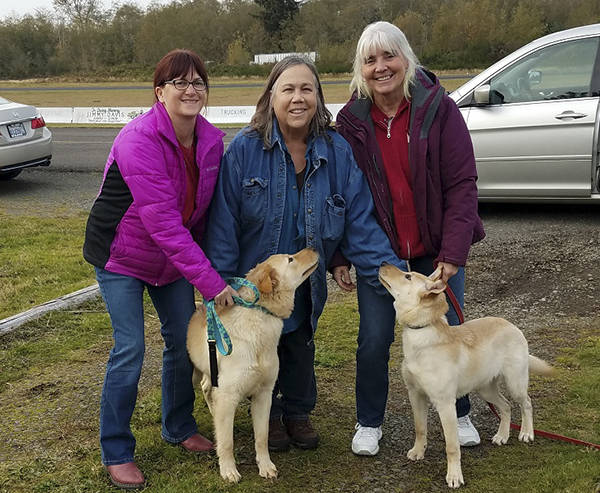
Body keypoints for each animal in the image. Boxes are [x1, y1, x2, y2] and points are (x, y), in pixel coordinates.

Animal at [188, 246, 322, 480]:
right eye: (290, 259)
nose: (313, 247)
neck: (260, 317)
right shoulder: (229, 394)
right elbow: (227, 442)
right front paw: (228, 469)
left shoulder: (264, 394)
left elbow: (262, 437)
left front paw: (265, 465)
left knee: (207, 389)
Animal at [380, 264, 552, 486]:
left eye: (407, 276)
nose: (382, 263)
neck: (422, 333)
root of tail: (511, 325)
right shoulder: (415, 394)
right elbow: (420, 428)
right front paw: (418, 452)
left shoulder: (445, 404)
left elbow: (452, 447)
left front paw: (454, 476)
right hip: (485, 389)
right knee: (506, 406)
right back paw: (502, 436)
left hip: (515, 383)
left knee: (526, 403)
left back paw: (526, 433)